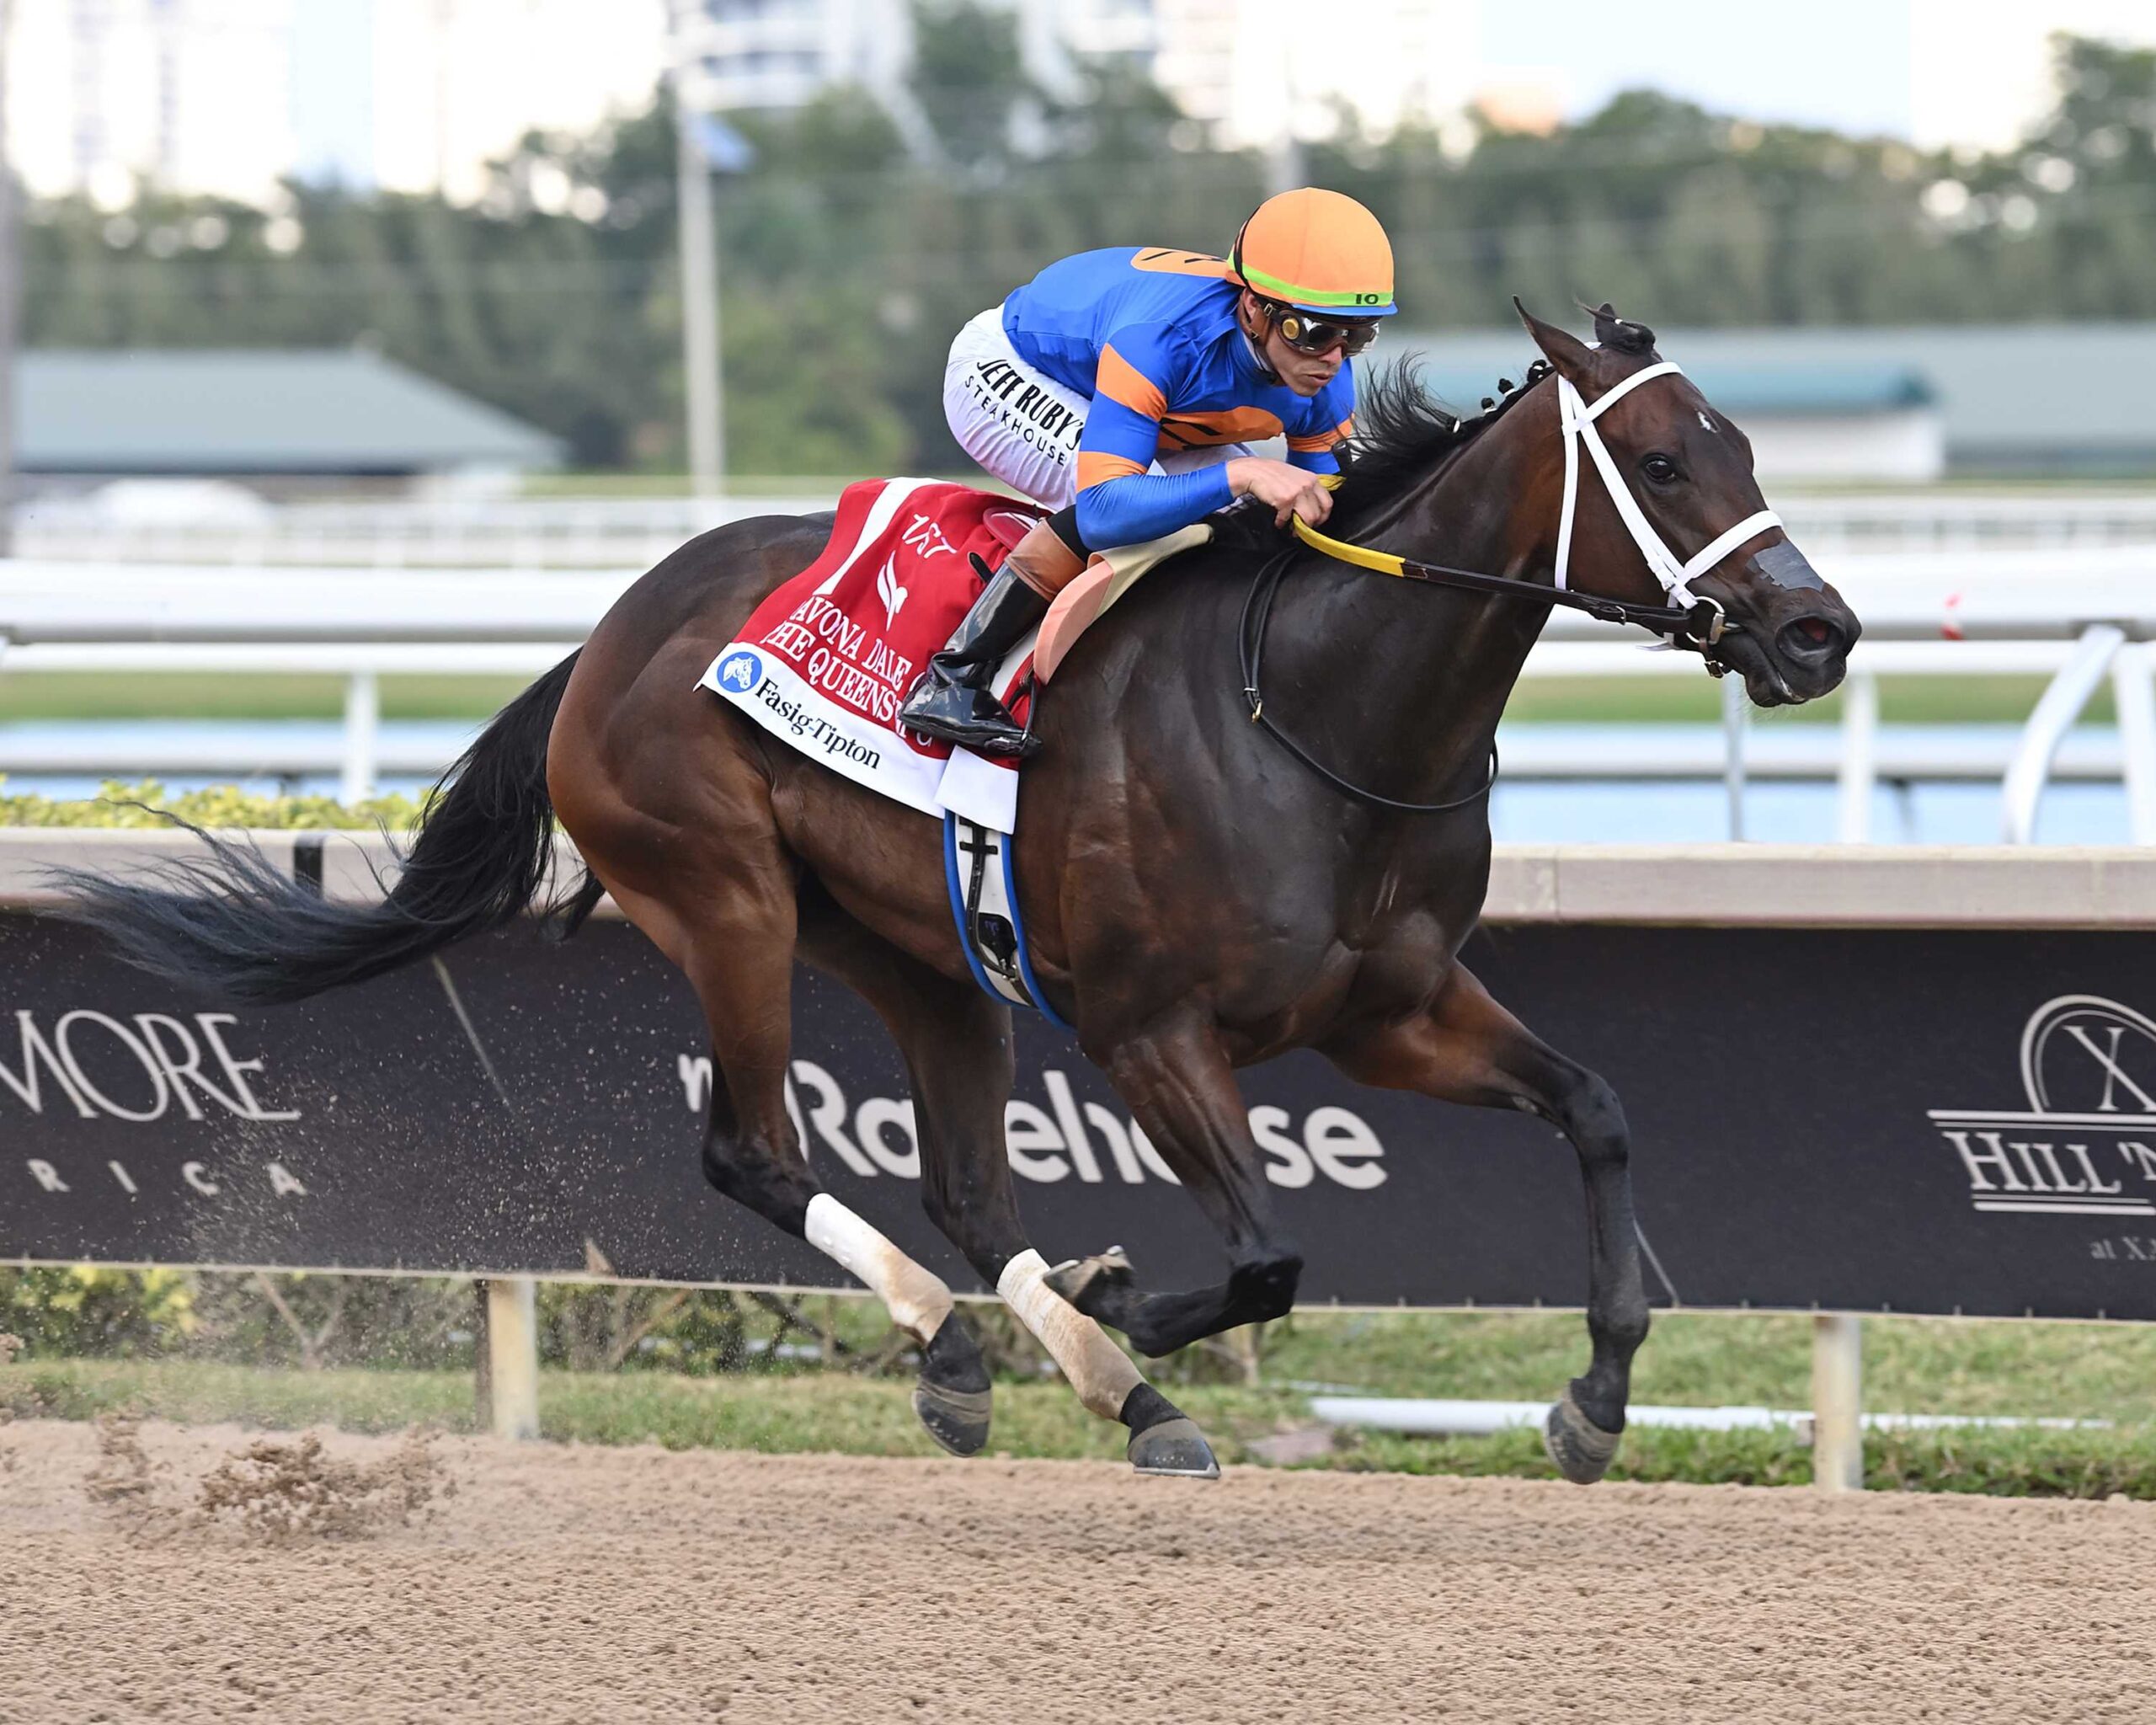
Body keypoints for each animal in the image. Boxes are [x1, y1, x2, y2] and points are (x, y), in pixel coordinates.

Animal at [61, 303, 1859, 1482]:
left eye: (1743, 444)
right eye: (1660, 459)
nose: (1820, 631)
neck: (1318, 711)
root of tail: (609, 632)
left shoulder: (1392, 1010)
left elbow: (1599, 1109)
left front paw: (1595, 1401)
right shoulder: (1148, 1029)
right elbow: (1271, 1256)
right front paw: (1129, 1295)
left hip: (920, 953)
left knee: (970, 1193)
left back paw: (1073, 1378)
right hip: (726, 898)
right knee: (754, 1150)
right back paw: (1009, 1346)